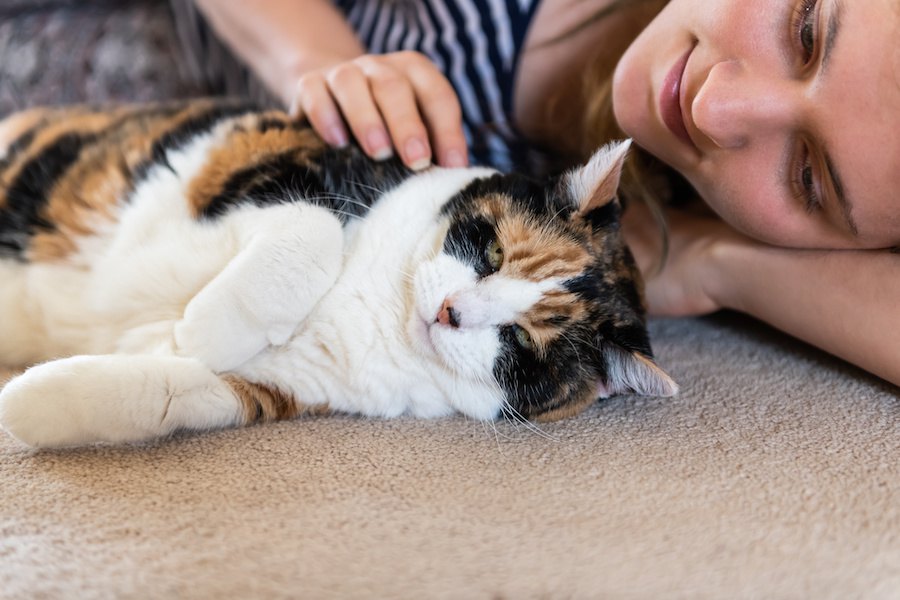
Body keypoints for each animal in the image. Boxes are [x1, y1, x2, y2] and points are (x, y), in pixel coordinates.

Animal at [0, 98, 676, 448]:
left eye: (521, 343)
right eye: (493, 255)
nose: (450, 312)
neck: (376, 302)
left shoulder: (284, 384)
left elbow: (161, 392)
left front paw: (31, 402)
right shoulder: (268, 149)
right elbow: (317, 229)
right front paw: (205, 329)